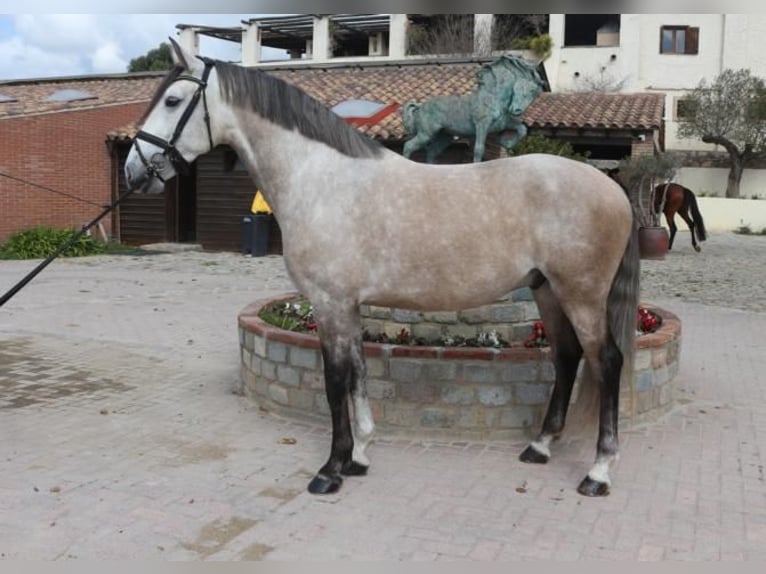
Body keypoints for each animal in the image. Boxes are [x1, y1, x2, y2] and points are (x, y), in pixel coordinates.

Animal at [126, 40, 640, 500]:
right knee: (568, 357)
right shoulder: (348, 306)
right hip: (548, 290)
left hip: (581, 294)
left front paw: (331, 469)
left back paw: (598, 472)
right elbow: (357, 373)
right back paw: (540, 446)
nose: (134, 171)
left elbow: (335, 381)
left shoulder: (330, 304)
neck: (320, 179)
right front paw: (359, 457)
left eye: (172, 100)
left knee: (606, 361)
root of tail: (612, 188)